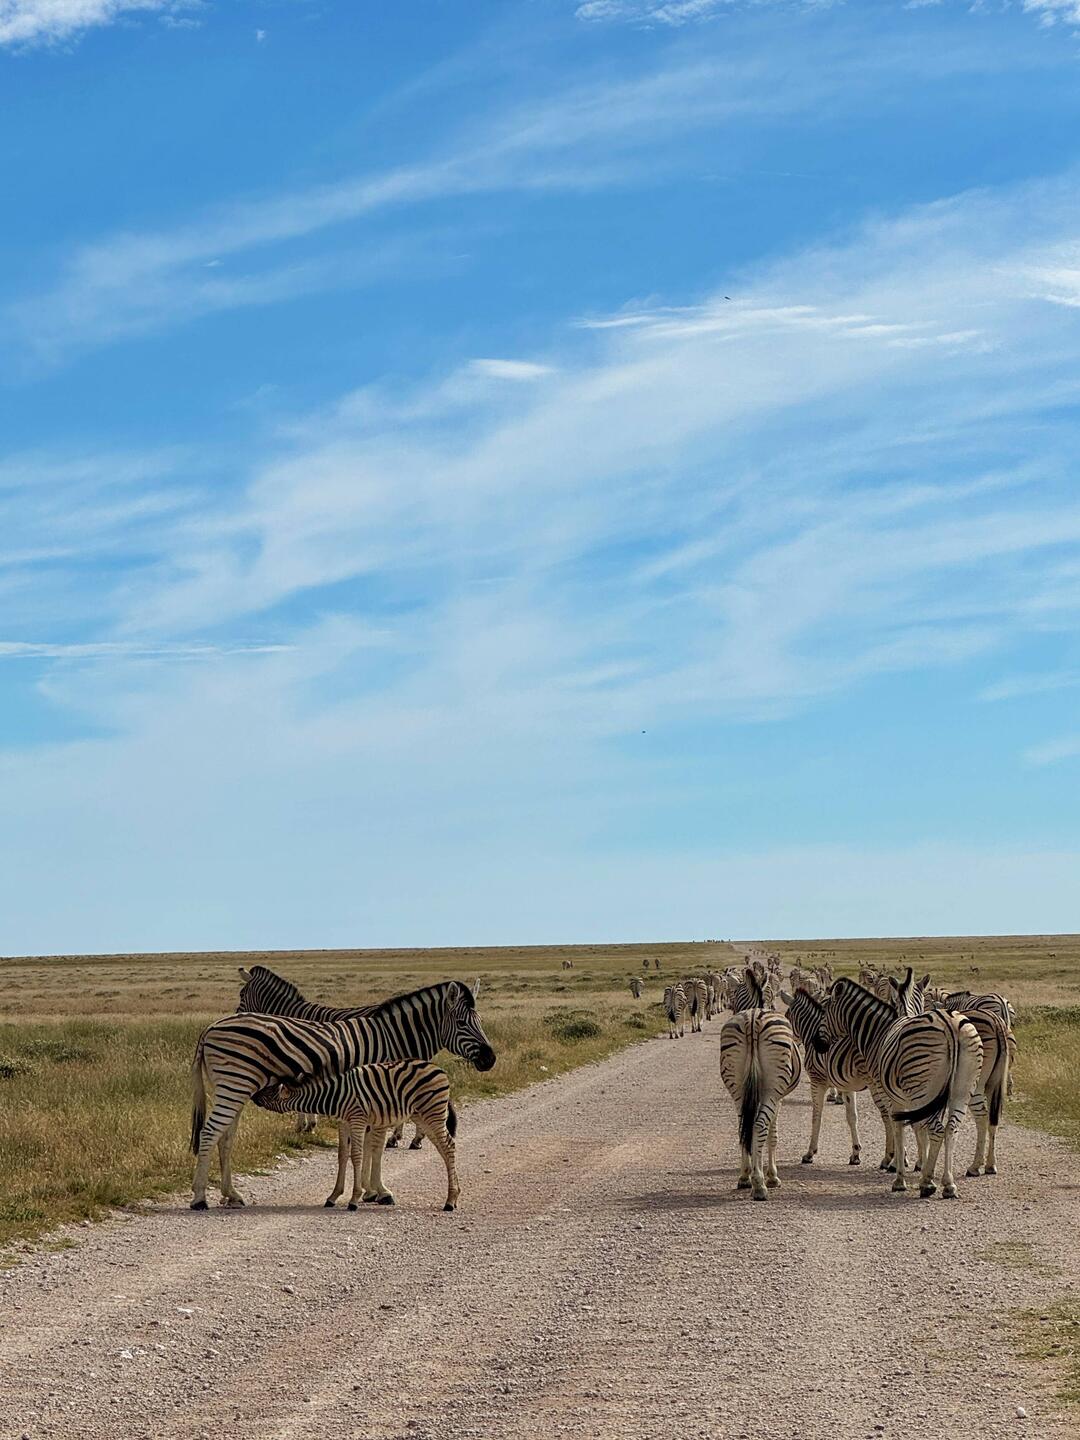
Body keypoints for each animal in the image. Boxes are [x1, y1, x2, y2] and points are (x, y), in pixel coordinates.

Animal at [252, 1061, 460, 1211]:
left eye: (269, 1092)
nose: (253, 1096)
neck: (334, 1096)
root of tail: (438, 1069)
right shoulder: (343, 1123)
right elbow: (342, 1155)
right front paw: (333, 1196)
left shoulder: (357, 1119)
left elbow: (357, 1155)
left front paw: (354, 1199)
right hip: (422, 1115)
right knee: (445, 1147)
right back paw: (454, 1196)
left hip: (432, 1113)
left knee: (448, 1146)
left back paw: (450, 1201)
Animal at [719, 1008, 802, 1200]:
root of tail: (753, 1018)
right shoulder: (778, 1099)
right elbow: (772, 1134)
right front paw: (772, 1177)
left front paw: (746, 1176)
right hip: (773, 1087)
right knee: (759, 1125)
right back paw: (759, 1185)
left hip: (737, 1087)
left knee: (744, 1127)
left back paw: (745, 1177)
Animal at [819, 970, 982, 1198]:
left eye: (825, 1009)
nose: (817, 1043)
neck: (879, 1033)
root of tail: (949, 1024)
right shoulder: (912, 1099)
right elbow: (917, 1127)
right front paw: (918, 1165)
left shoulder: (890, 1095)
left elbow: (897, 1127)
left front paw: (899, 1174)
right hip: (961, 1090)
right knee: (951, 1129)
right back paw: (948, 1184)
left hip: (925, 1090)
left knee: (938, 1130)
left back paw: (928, 1184)